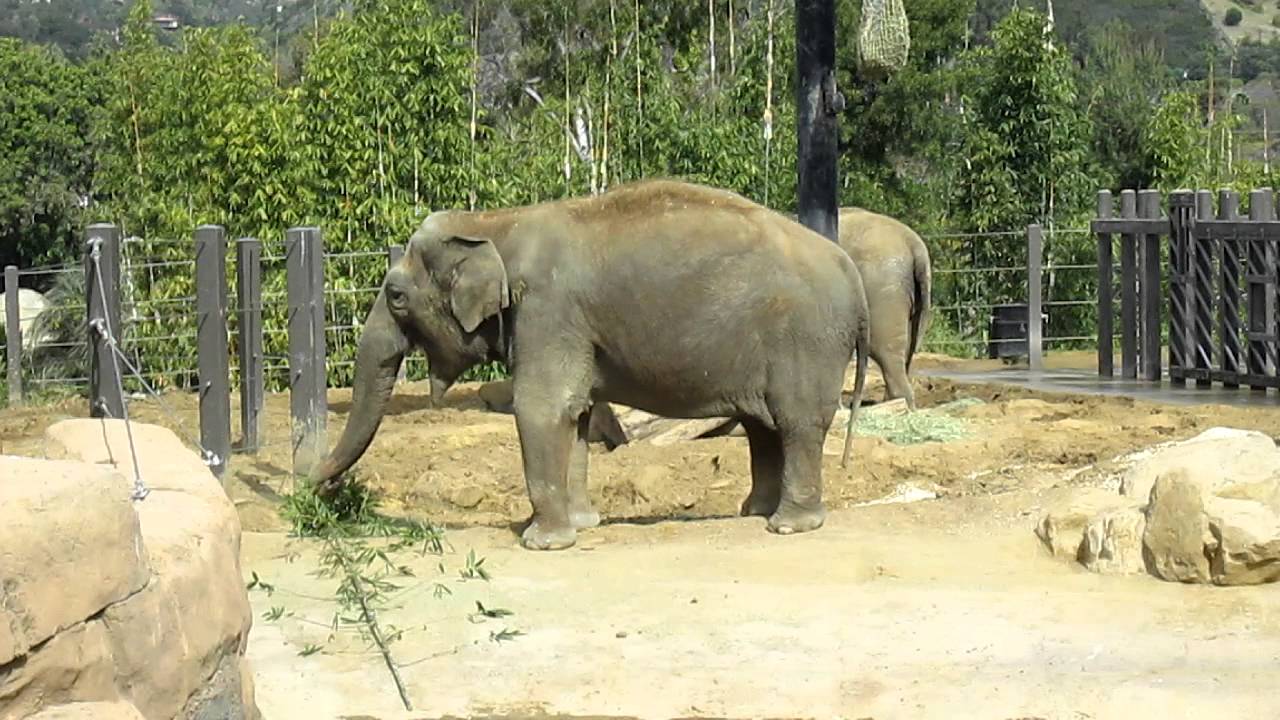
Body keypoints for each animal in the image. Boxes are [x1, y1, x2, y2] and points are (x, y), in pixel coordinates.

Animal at [313, 178, 871, 551]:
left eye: (396, 296)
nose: (325, 491)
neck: (496, 222)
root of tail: (850, 270)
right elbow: (576, 412)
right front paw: (584, 524)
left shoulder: (547, 310)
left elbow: (539, 408)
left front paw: (542, 543)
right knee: (762, 426)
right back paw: (753, 513)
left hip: (807, 340)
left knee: (796, 422)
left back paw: (788, 525)